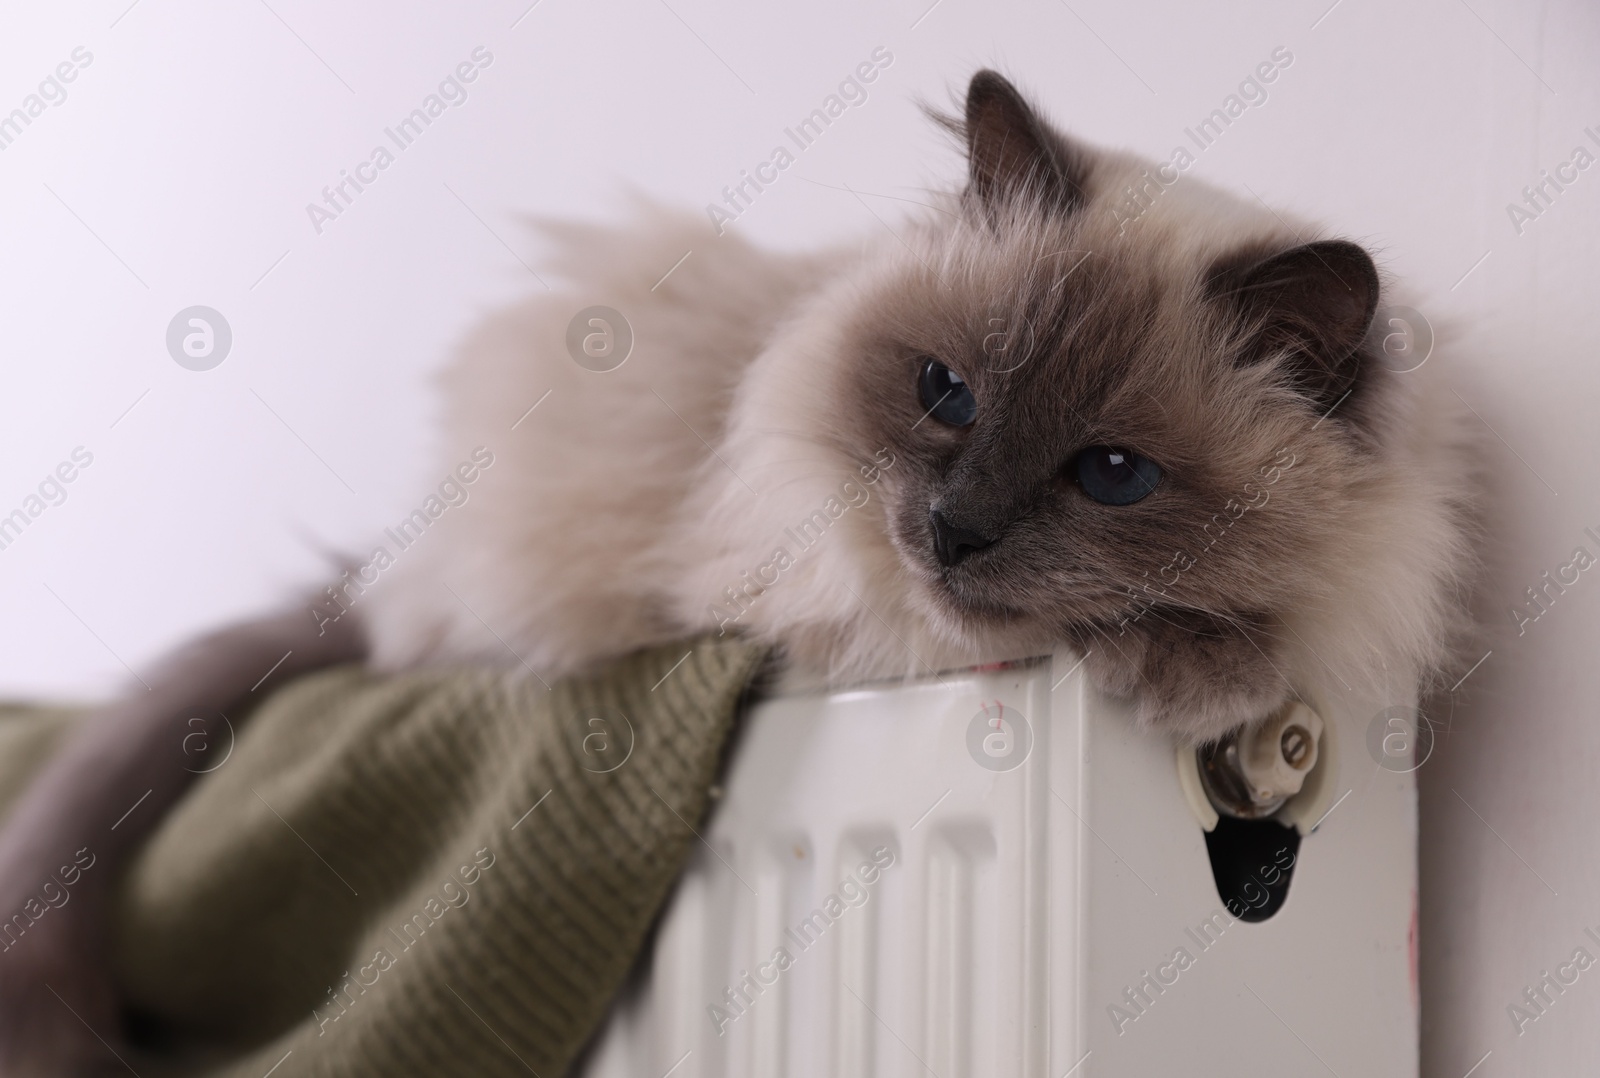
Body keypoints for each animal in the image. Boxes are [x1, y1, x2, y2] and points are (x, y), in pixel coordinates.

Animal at [0, 71, 1478, 1068]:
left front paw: (1217, 659)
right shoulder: (812, 593)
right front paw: (1191, 668)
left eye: (1112, 473)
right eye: (944, 393)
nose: (953, 528)